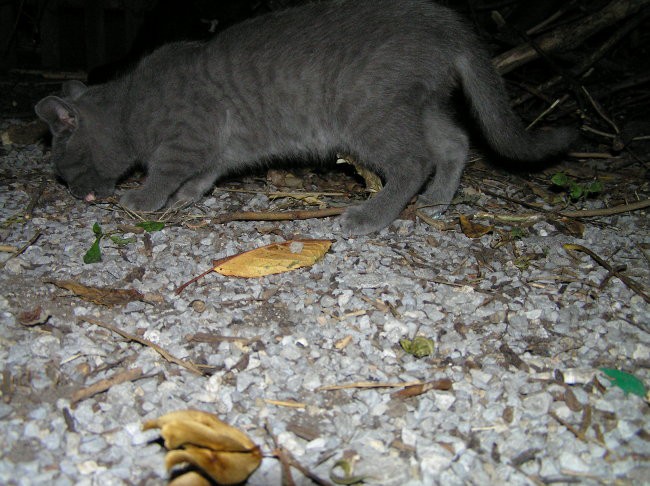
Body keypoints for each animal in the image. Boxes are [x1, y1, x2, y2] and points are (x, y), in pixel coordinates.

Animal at [36, 0, 572, 235]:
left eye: (65, 166)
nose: (74, 192)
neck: (130, 104)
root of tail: (446, 23)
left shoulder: (188, 137)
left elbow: (166, 170)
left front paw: (143, 199)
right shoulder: (216, 145)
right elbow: (205, 173)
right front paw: (188, 195)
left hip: (370, 113)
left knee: (414, 162)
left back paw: (370, 215)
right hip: (415, 105)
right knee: (455, 142)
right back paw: (440, 198)